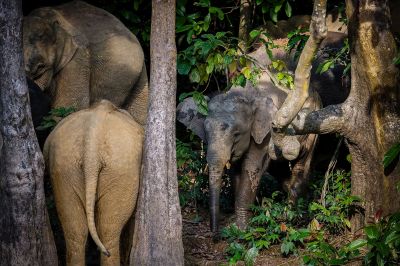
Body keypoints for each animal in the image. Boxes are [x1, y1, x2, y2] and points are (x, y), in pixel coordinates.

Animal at [177, 83, 320, 235]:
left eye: (236, 134)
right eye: (206, 132)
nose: (215, 234)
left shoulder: (266, 132)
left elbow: (250, 168)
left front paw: (240, 229)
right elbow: (236, 171)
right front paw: (235, 223)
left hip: (311, 130)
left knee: (301, 165)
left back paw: (291, 215)